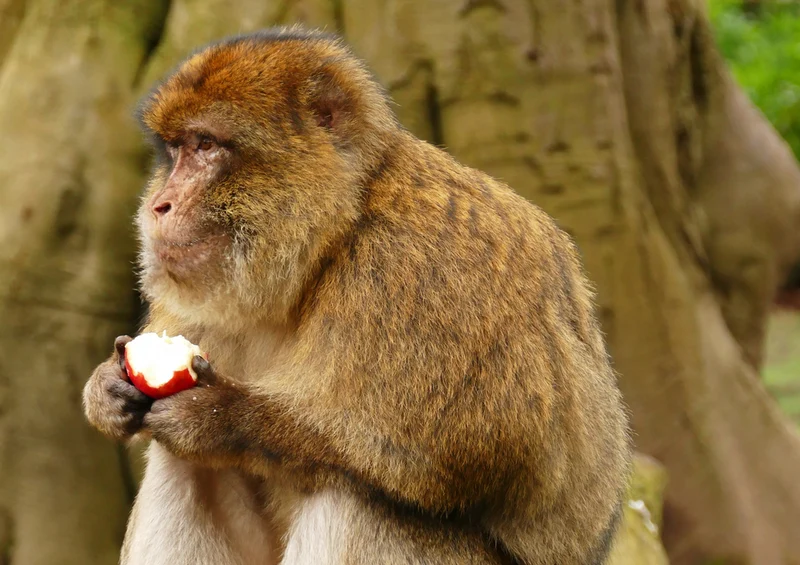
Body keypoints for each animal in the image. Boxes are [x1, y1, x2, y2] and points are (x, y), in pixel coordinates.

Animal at [83, 27, 631, 565]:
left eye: (205, 145)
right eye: (175, 151)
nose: (158, 204)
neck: (333, 238)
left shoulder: (421, 267)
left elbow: (475, 447)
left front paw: (220, 418)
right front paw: (105, 388)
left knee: (356, 499)